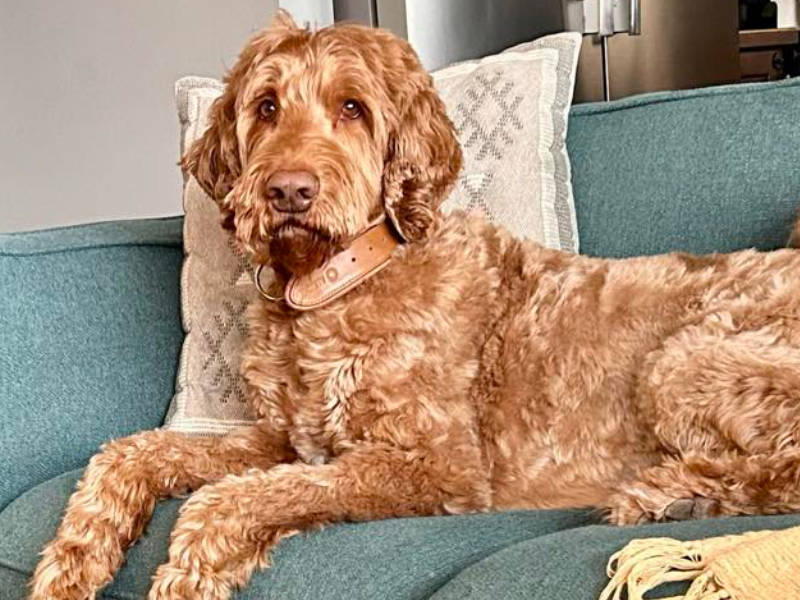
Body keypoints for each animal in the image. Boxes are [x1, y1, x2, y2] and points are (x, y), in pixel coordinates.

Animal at [31, 10, 800, 600]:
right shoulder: (281, 440)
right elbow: (131, 453)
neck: (334, 284)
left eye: (352, 108)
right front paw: (68, 569)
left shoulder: (435, 464)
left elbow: (235, 497)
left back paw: (675, 496)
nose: (288, 190)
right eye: (266, 107)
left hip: (683, 360)